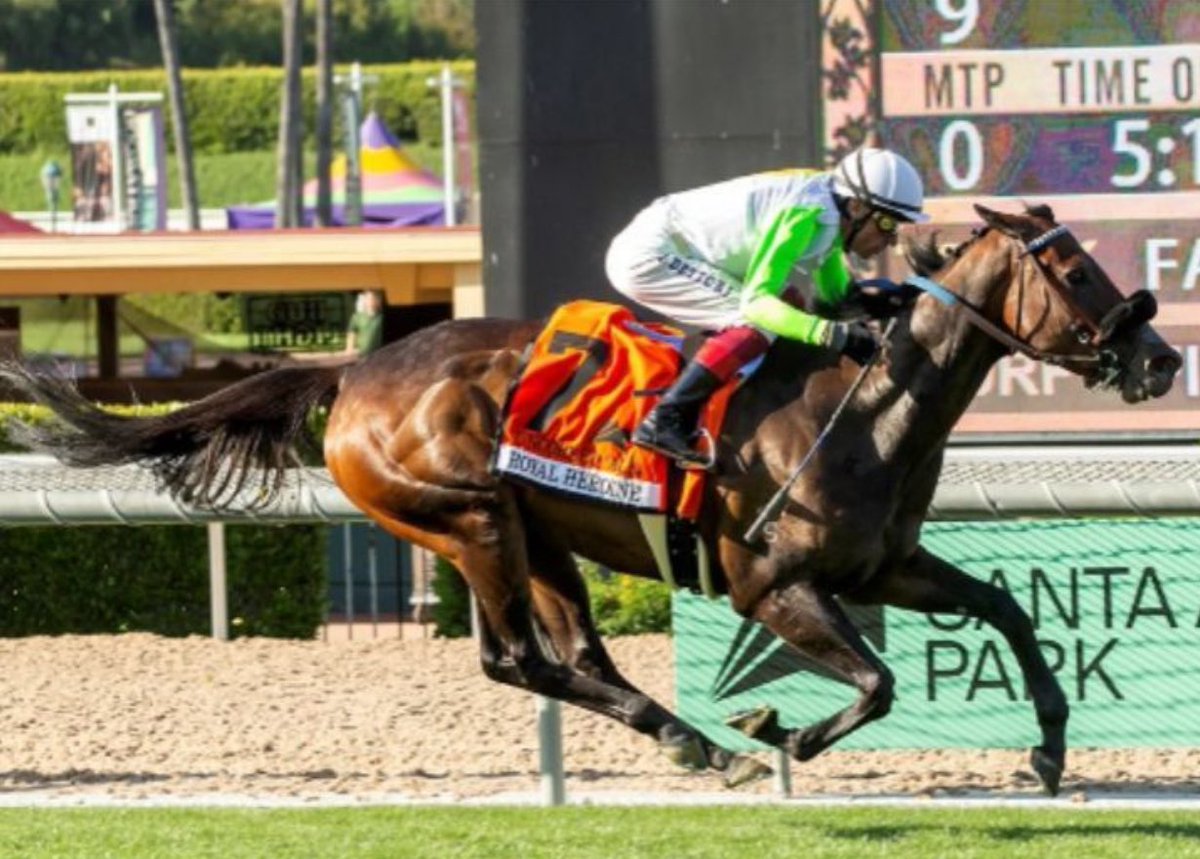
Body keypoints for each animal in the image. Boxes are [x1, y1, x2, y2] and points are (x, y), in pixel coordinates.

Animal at [0, 205, 1180, 796]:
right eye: (1072, 267)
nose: (1159, 356)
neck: (867, 404)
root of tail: (357, 370)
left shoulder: (884, 563)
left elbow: (1010, 613)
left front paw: (1050, 752)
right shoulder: (771, 587)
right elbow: (881, 682)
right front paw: (779, 729)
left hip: (541, 536)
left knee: (574, 657)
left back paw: (689, 741)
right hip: (470, 517)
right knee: (516, 659)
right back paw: (708, 741)